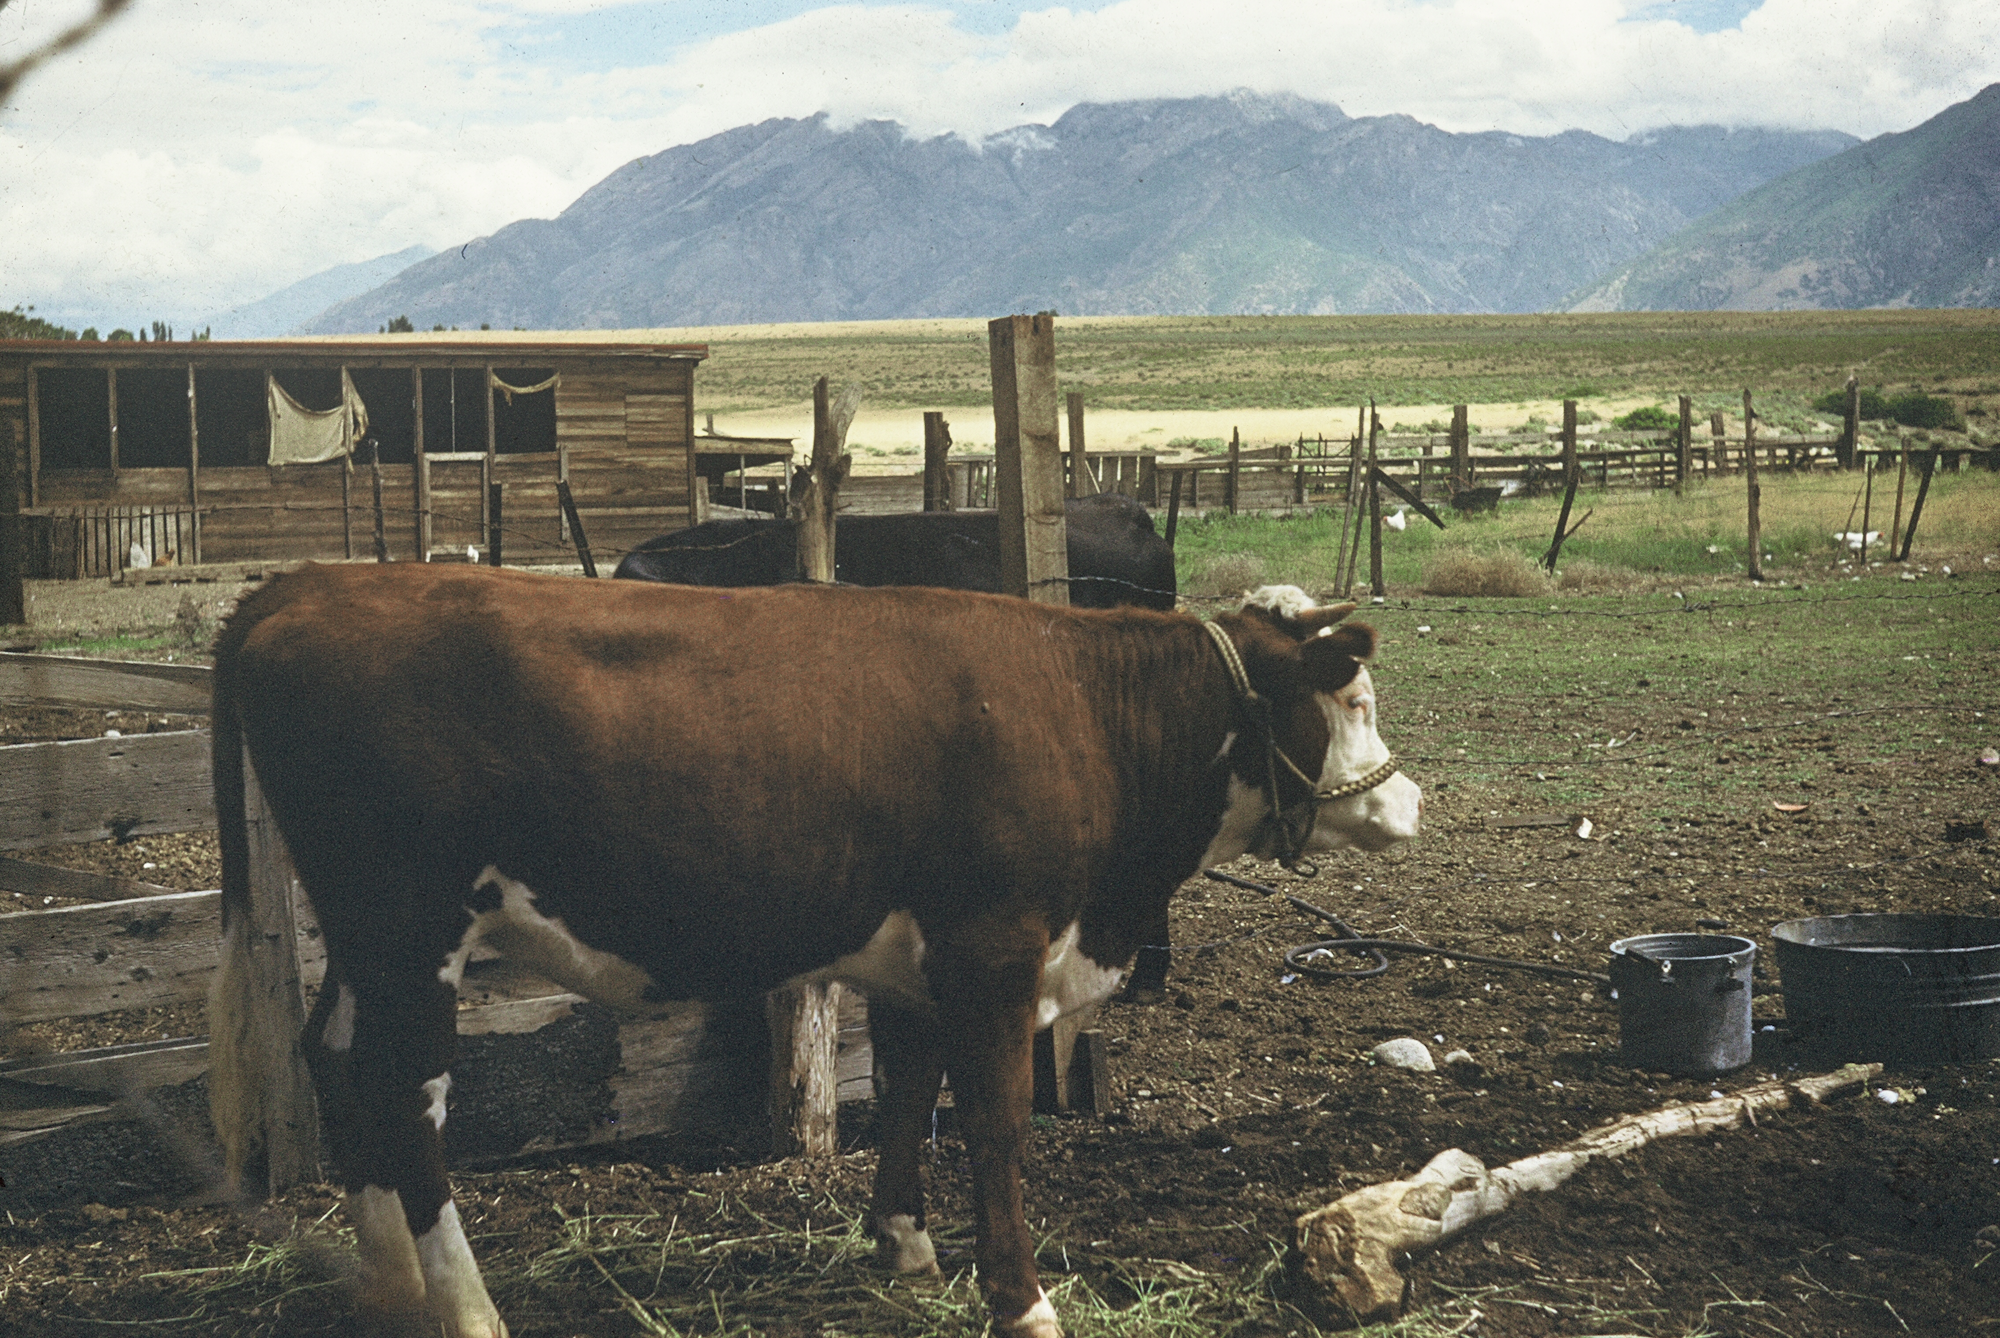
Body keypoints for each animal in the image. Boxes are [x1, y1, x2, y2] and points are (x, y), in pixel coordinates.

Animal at [208, 565, 1420, 1338]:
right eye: (1356, 695)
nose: (1409, 803)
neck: (1079, 707)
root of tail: (303, 584)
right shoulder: (994, 947)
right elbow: (992, 1122)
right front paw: (1021, 1301)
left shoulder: (921, 957)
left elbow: (908, 1087)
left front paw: (904, 1247)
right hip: (412, 930)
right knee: (406, 1099)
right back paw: (465, 1308)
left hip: (367, 941)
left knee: (336, 1060)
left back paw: (386, 1288)